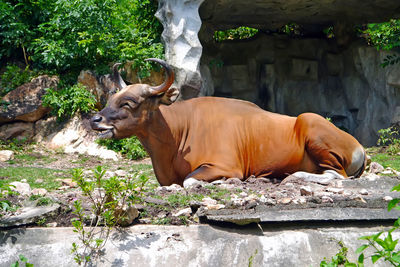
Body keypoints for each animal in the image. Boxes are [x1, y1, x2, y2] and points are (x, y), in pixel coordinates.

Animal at [90, 59, 366, 188]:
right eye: (110, 98)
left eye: (128, 103)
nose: (94, 120)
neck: (178, 133)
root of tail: (359, 148)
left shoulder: (224, 166)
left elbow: (189, 180)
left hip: (310, 122)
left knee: (337, 175)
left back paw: (295, 176)